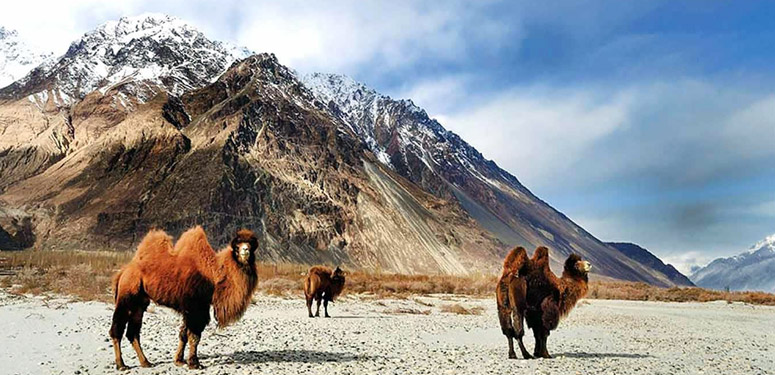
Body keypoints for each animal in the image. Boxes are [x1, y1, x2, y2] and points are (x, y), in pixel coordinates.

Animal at [110, 226, 260, 370]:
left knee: (133, 332)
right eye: (237, 246)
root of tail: (123, 272)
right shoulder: (196, 306)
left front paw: (179, 360)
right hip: (127, 294)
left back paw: (145, 362)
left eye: (251, 245)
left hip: (140, 303)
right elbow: (194, 336)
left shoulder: (190, 308)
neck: (213, 274)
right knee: (117, 329)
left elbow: (183, 334)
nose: (245, 250)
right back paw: (121, 364)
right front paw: (194, 363)